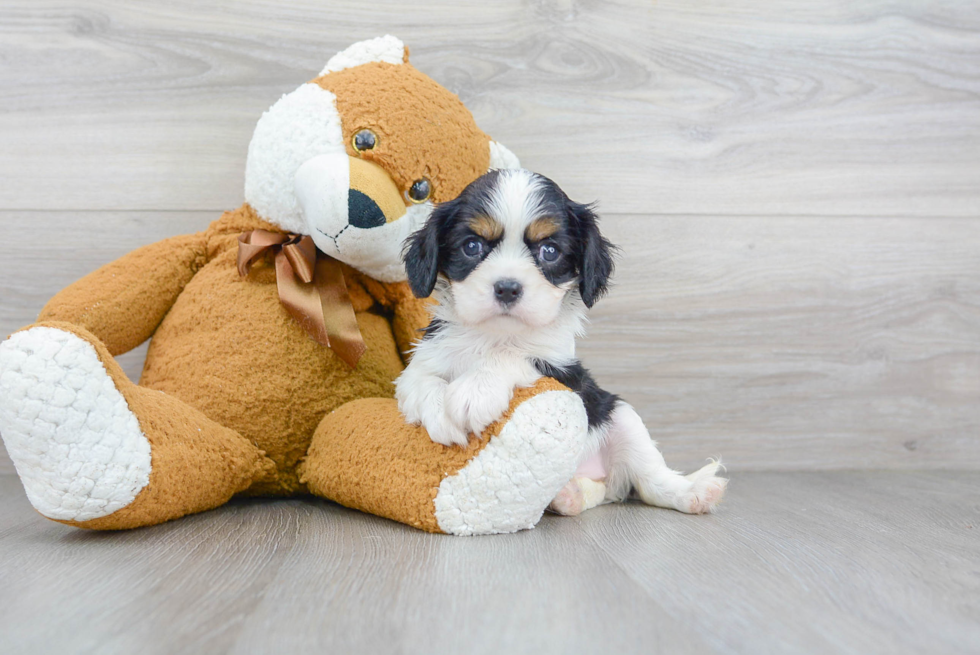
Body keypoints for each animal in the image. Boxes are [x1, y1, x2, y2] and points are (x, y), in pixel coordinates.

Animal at [394, 169, 724, 516]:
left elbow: (513, 357)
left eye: (549, 251)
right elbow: (421, 380)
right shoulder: (424, 361)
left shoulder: (564, 370)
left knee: (650, 481)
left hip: (620, 416)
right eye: (472, 246)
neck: (496, 334)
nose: (507, 288)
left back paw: (694, 492)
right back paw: (568, 495)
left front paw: (475, 390)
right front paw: (440, 413)